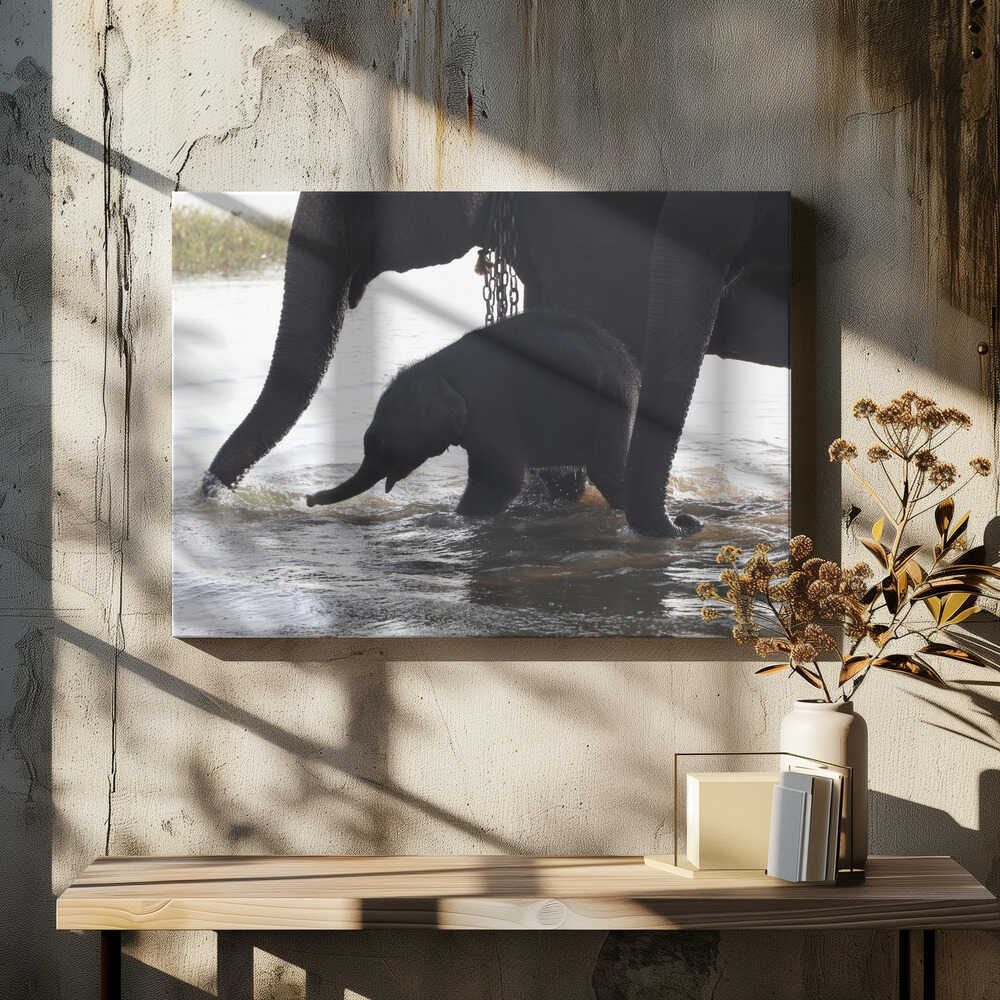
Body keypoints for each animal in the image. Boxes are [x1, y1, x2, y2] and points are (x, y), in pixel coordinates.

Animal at [305, 310, 641, 516]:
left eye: (382, 445)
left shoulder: (490, 406)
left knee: (608, 473)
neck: (437, 366)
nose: (309, 499)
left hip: (612, 407)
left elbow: (500, 478)